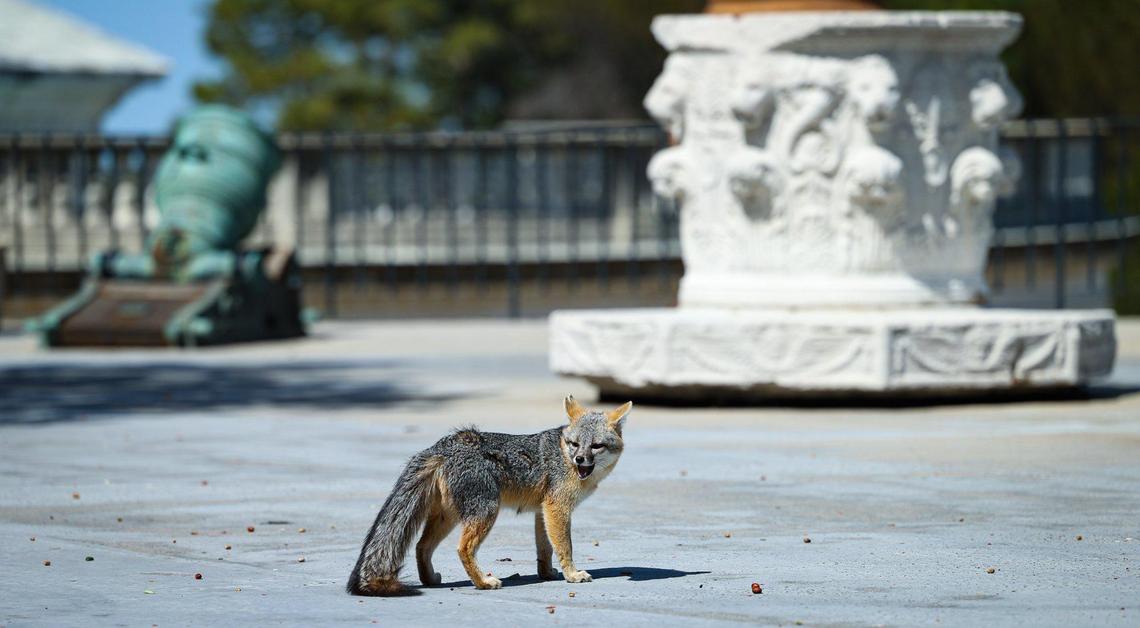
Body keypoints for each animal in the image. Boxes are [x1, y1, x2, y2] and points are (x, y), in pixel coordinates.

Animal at [346, 395, 632, 596]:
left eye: (596, 446)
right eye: (575, 444)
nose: (579, 459)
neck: (562, 455)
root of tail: (444, 445)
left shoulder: (543, 511)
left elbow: (545, 548)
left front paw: (547, 573)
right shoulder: (557, 508)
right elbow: (564, 547)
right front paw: (572, 575)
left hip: (449, 517)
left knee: (421, 546)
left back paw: (431, 579)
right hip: (486, 511)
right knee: (463, 549)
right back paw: (483, 581)